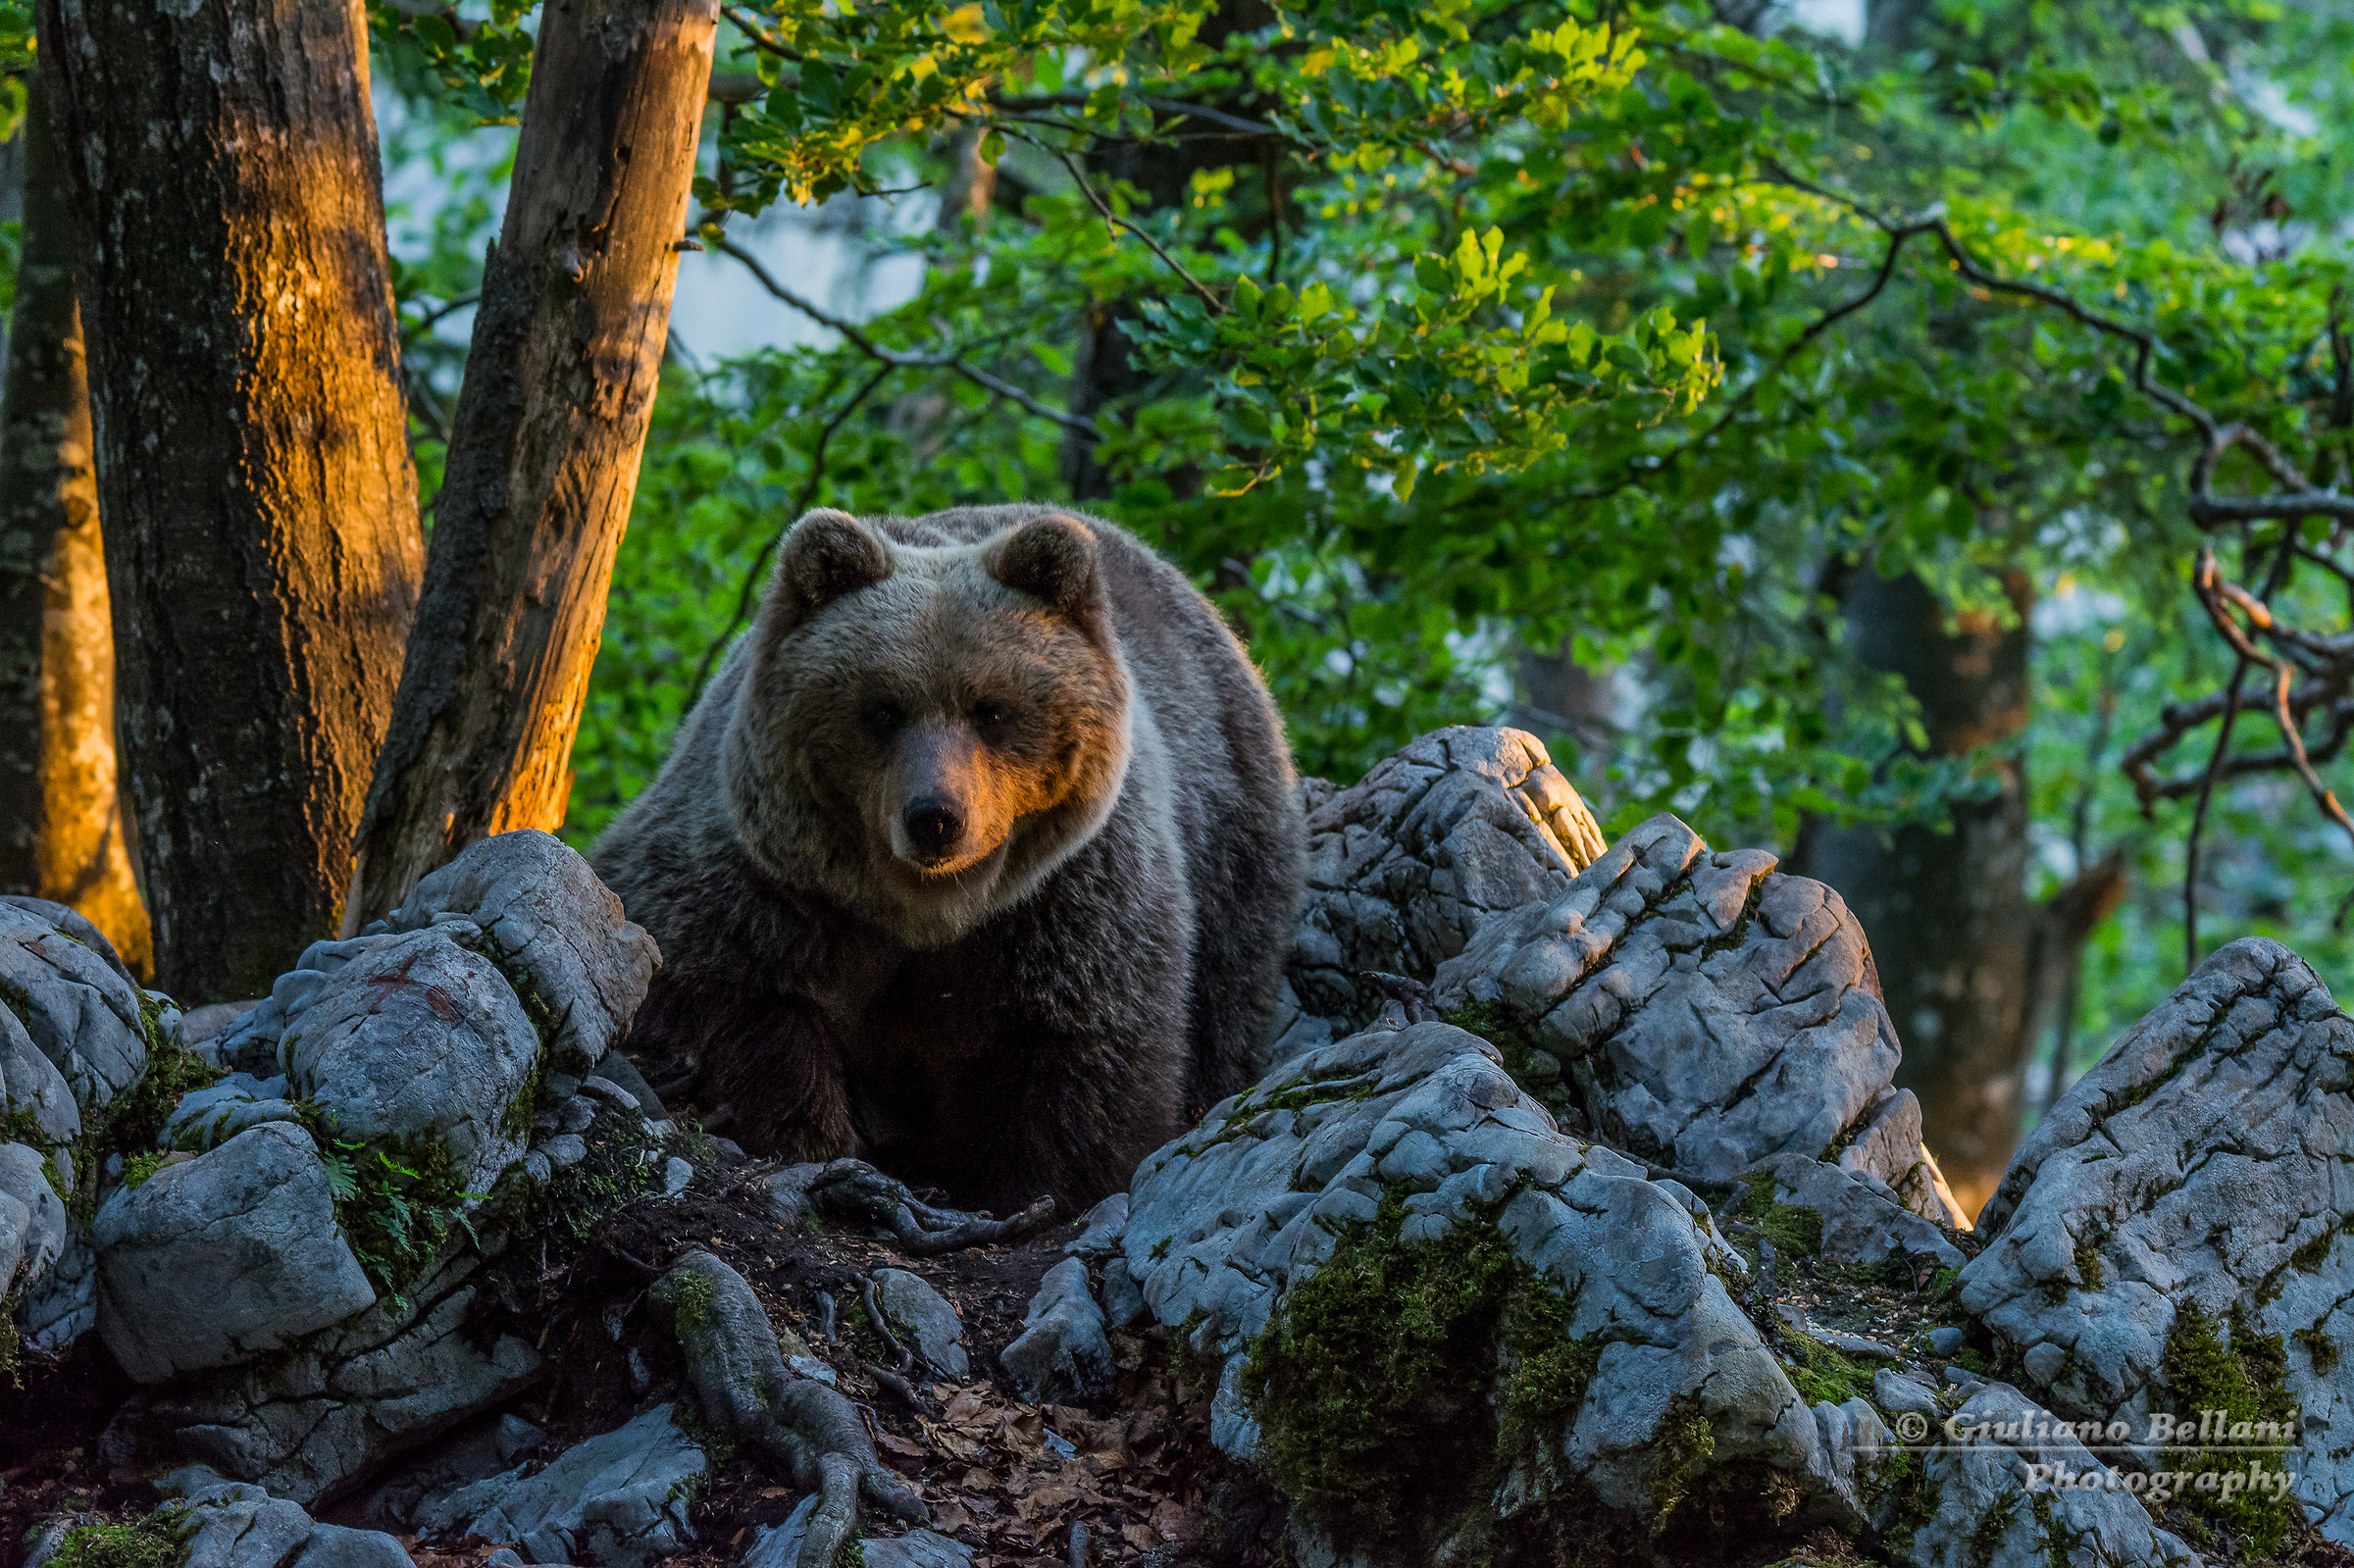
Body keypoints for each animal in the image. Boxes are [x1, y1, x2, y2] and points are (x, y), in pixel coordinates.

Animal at [591, 503, 1305, 1210]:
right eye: (882, 709)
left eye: (992, 708)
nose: (936, 817)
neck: (927, 909)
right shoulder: (764, 877)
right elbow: (712, 981)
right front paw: (812, 1130)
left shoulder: (1069, 896)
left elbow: (1089, 1045)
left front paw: (1034, 1183)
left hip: (1232, 838)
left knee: (1226, 1002)